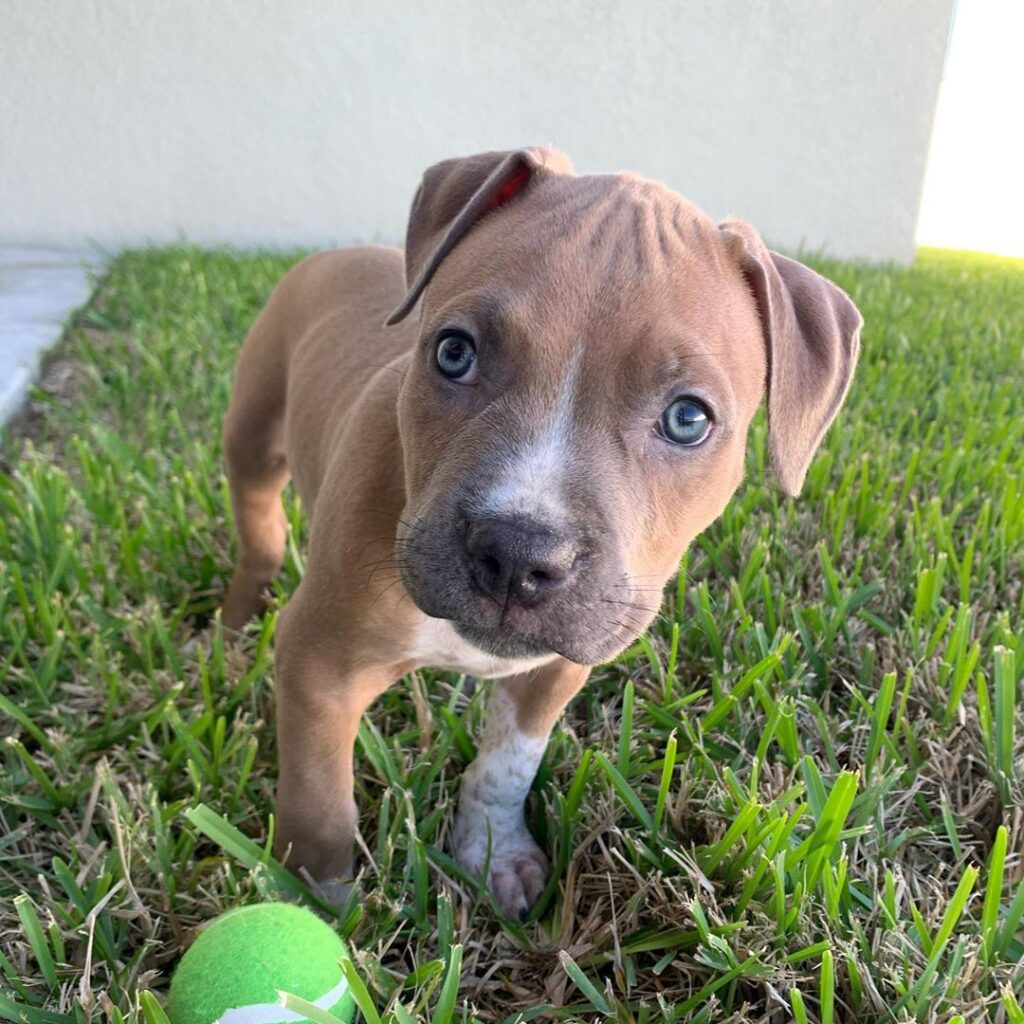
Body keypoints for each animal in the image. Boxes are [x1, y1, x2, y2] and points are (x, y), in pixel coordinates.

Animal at [220, 146, 860, 921]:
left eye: (688, 419)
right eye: (454, 353)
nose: (518, 554)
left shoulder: (556, 669)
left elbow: (508, 762)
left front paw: (494, 852)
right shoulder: (320, 662)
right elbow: (319, 802)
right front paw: (316, 900)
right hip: (253, 431)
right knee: (259, 524)